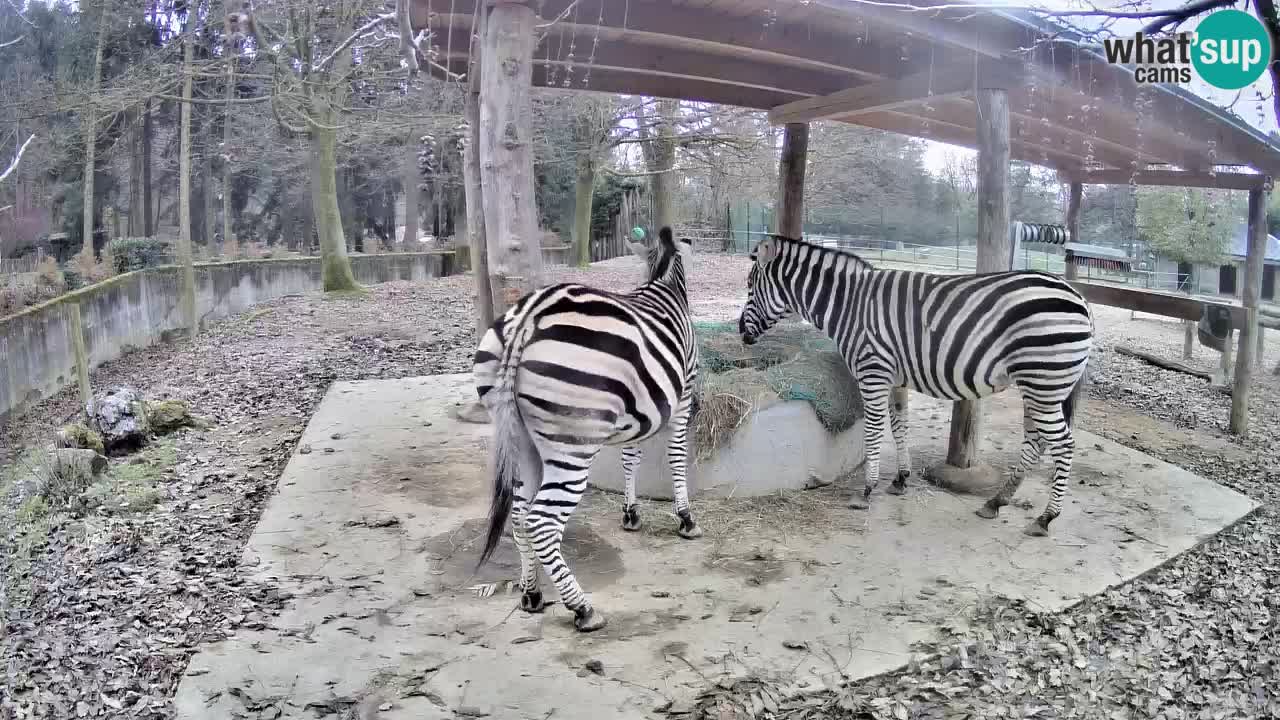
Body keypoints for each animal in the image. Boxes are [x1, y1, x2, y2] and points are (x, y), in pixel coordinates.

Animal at [476, 226, 706, 630]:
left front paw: (631, 514)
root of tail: (527, 319)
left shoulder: (636, 412)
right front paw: (686, 519)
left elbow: (631, 458)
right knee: (542, 521)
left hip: (522, 440)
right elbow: (677, 456)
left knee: (519, 516)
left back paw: (531, 594)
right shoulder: (683, 394)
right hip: (572, 443)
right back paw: (583, 609)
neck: (663, 283)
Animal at [737, 233, 1095, 535]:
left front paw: (867, 490)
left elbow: (874, 431)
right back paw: (996, 502)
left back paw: (1045, 518)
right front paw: (900, 479)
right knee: (1036, 442)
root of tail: (1078, 296)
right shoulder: (895, 379)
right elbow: (900, 427)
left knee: (1063, 444)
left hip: (1043, 382)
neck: (850, 306)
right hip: (1039, 387)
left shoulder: (872, 372)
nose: (742, 333)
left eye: (750, 286)